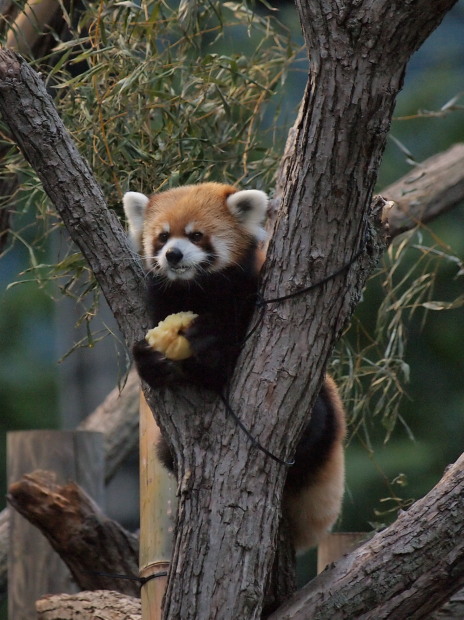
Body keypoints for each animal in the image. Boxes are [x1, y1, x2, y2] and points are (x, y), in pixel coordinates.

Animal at [123, 180, 344, 552]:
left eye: (196, 235)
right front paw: (152, 360)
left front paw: (207, 344)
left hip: (322, 414)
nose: (173, 255)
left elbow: (226, 349)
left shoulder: (247, 293)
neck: (199, 290)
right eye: (162, 237)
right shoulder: (162, 298)